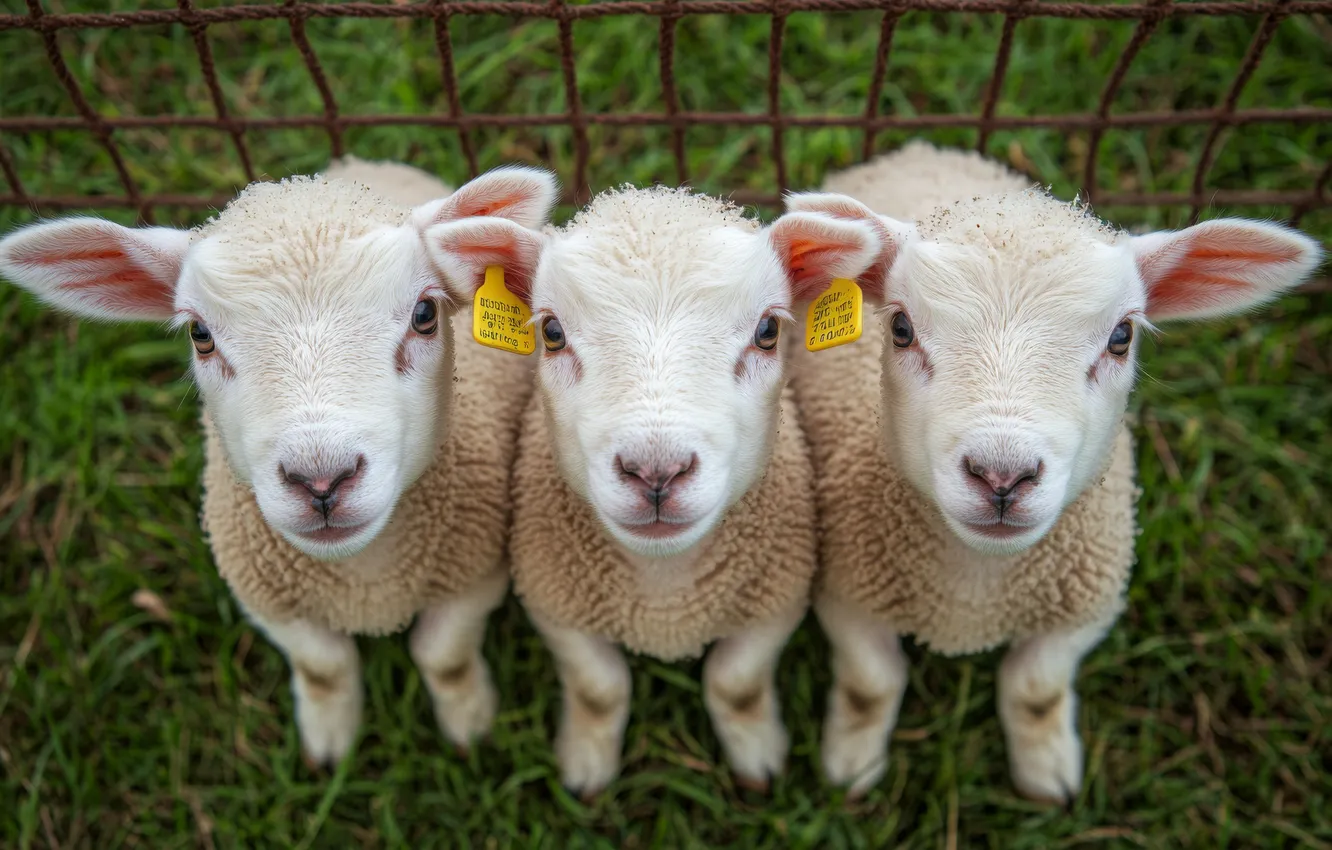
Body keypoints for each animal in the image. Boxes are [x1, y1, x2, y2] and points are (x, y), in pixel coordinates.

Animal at [0, 154, 556, 772]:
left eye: (424, 314)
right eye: (199, 333)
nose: (321, 480)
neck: (365, 581)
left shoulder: (475, 573)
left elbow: (444, 655)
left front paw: (470, 724)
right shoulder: (262, 597)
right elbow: (323, 666)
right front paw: (329, 744)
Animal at [434, 186, 884, 799]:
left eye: (768, 331)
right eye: (551, 333)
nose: (655, 473)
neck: (663, 592)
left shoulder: (779, 599)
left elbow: (736, 682)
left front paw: (758, 759)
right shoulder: (555, 603)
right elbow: (599, 688)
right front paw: (586, 768)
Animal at [783, 141, 1316, 804]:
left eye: (1122, 336)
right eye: (901, 327)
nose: (1001, 477)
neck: (975, 588)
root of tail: (923, 149)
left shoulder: (1089, 607)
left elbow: (1035, 690)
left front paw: (1048, 776)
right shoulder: (847, 594)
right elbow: (870, 683)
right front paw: (852, 767)